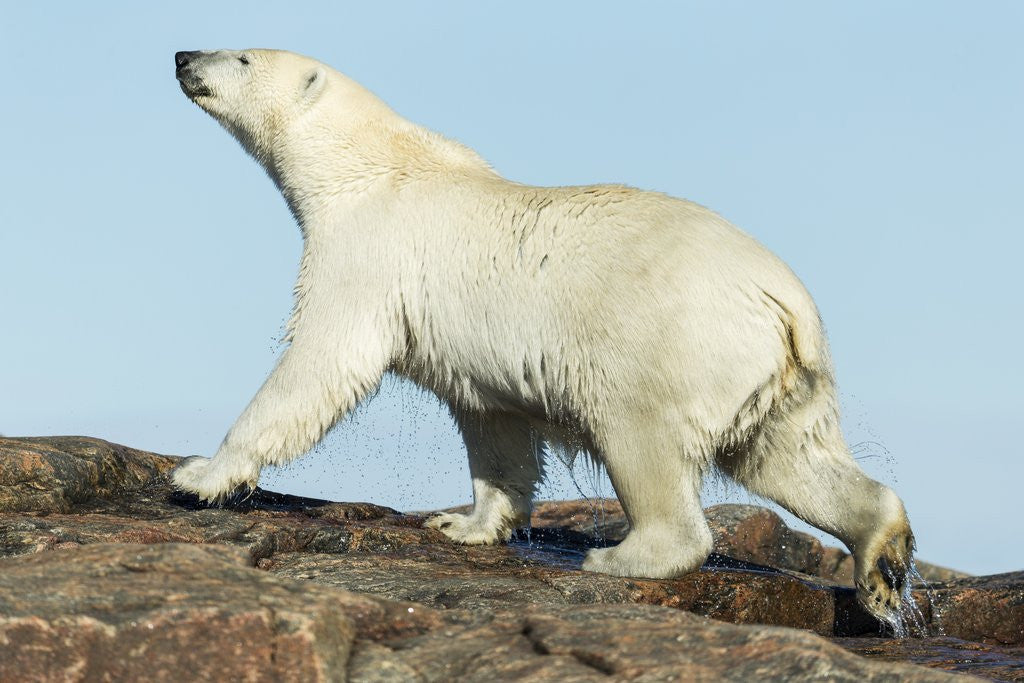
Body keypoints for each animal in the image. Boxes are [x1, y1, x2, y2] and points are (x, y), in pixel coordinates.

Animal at [172, 48, 916, 624]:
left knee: (643, 440)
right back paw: (882, 556)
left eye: (242, 57)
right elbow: (493, 426)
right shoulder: (471, 352)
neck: (372, 165)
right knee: (787, 456)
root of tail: (787, 302)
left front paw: (202, 474)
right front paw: (465, 524)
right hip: (771, 374)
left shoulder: (370, 254)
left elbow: (322, 361)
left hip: (668, 343)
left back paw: (619, 556)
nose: (182, 55)